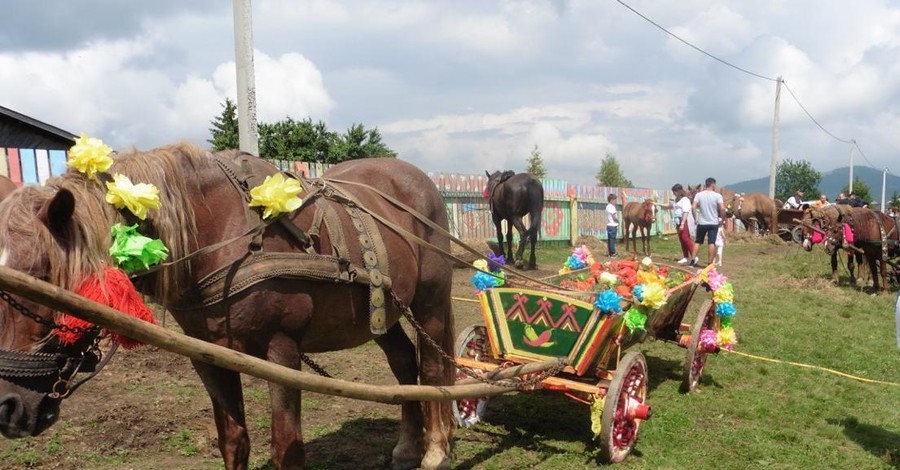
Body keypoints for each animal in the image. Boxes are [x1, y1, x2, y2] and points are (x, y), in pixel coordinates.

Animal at [0, 144, 458, 470]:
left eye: (42, 277)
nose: (7, 407)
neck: (220, 233)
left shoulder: (283, 350)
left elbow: (287, 448)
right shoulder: (209, 356)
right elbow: (233, 441)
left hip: (431, 302)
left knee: (434, 370)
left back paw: (436, 450)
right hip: (382, 313)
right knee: (404, 366)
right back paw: (407, 448)